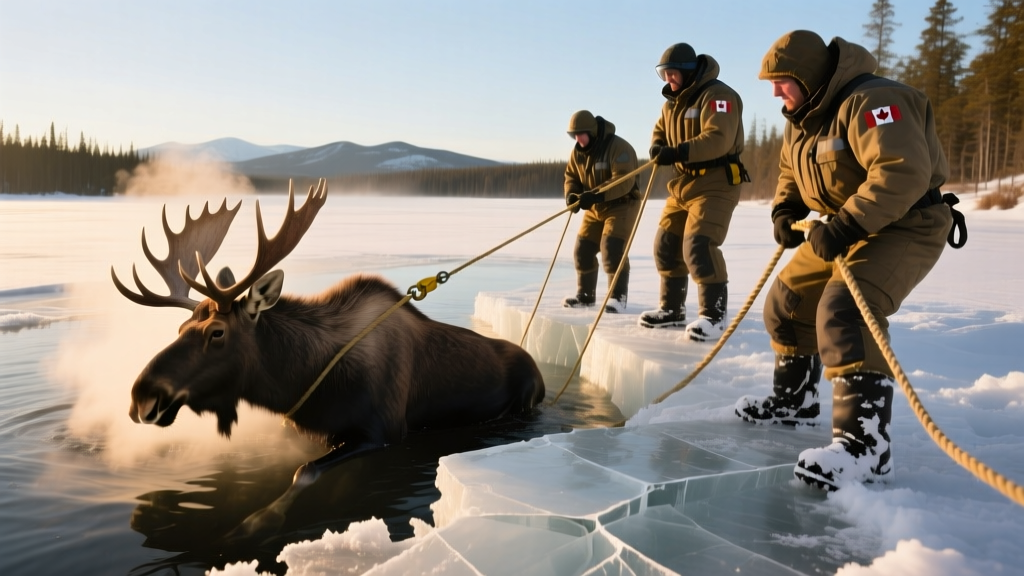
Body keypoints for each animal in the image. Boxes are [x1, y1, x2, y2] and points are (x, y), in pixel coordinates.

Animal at [111, 179, 546, 539]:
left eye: (217, 332)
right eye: (181, 328)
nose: (141, 398)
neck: (307, 380)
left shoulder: (383, 432)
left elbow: (305, 471)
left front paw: (255, 521)